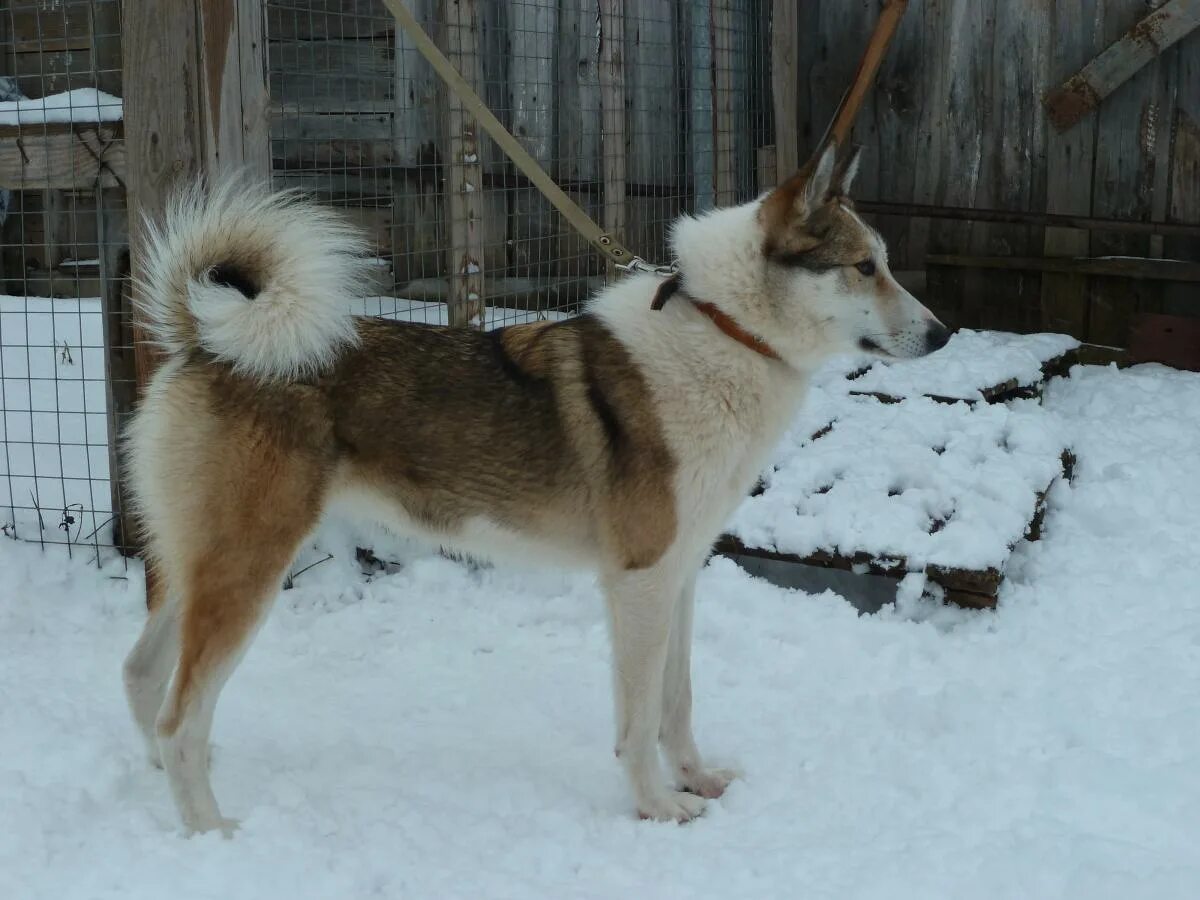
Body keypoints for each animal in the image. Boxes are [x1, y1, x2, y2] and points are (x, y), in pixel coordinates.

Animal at [121, 142, 945, 840]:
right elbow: (638, 719)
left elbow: (677, 702)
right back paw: (210, 831)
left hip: (204, 571)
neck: (725, 330)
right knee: (179, 716)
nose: (941, 335)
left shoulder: (680, 574)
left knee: (143, 678)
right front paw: (657, 808)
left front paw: (697, 780)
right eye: (863, 266)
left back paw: (166, 781)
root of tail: (206, 342)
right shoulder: (639, 582)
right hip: (250, 572)